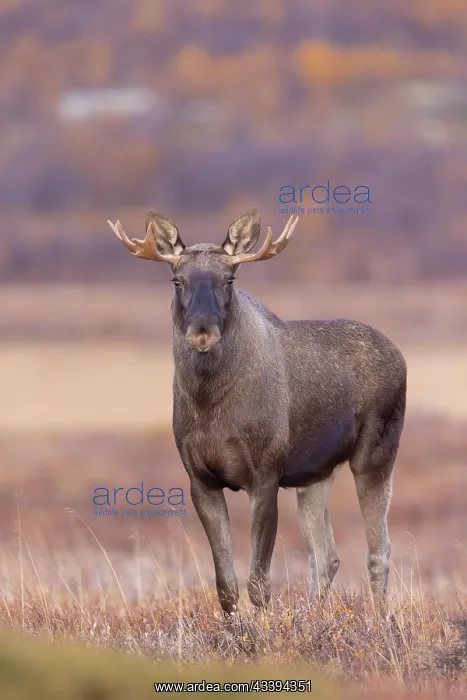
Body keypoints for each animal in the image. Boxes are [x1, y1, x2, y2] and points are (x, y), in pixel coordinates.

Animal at [107, 208, 407, 616]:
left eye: (230, 279)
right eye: (177, 280)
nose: (203, 331)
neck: (210, 404)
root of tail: (400, 356)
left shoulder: (265, 476)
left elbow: (259, 584)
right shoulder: (201, 480)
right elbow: (226, 586)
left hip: (375, 455)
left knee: (380, 549)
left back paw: (378, 617)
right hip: (315, 475)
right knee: (326, 556)